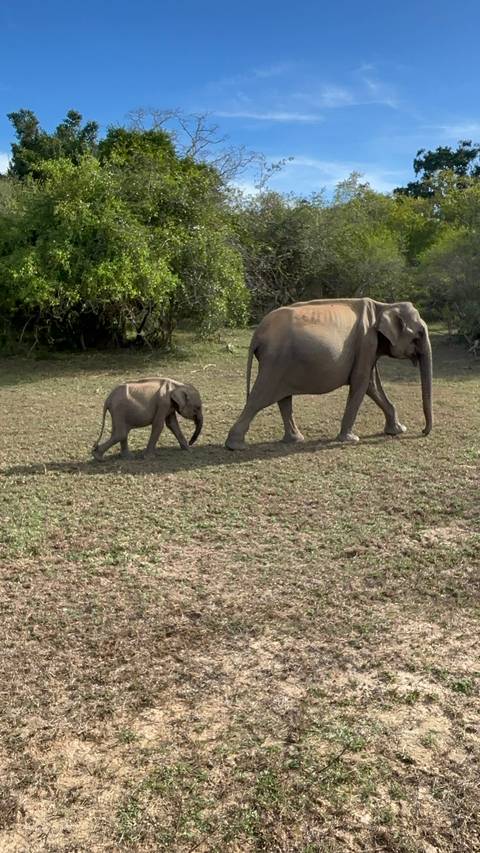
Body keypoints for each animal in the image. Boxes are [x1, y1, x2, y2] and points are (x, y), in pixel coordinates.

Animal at [225, 298, 433, 450]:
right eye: (420, 334)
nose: (422, 431)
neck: (383, 306)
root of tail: (257, 332)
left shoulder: (369, 347)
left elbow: (372, 385)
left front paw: (398, 430)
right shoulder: (366, 343)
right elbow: (361, 382)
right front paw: (351, 439)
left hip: (281, 363)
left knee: (283, 399)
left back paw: (295, 439)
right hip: (275, 361)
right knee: (259, 397)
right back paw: (235, 446)